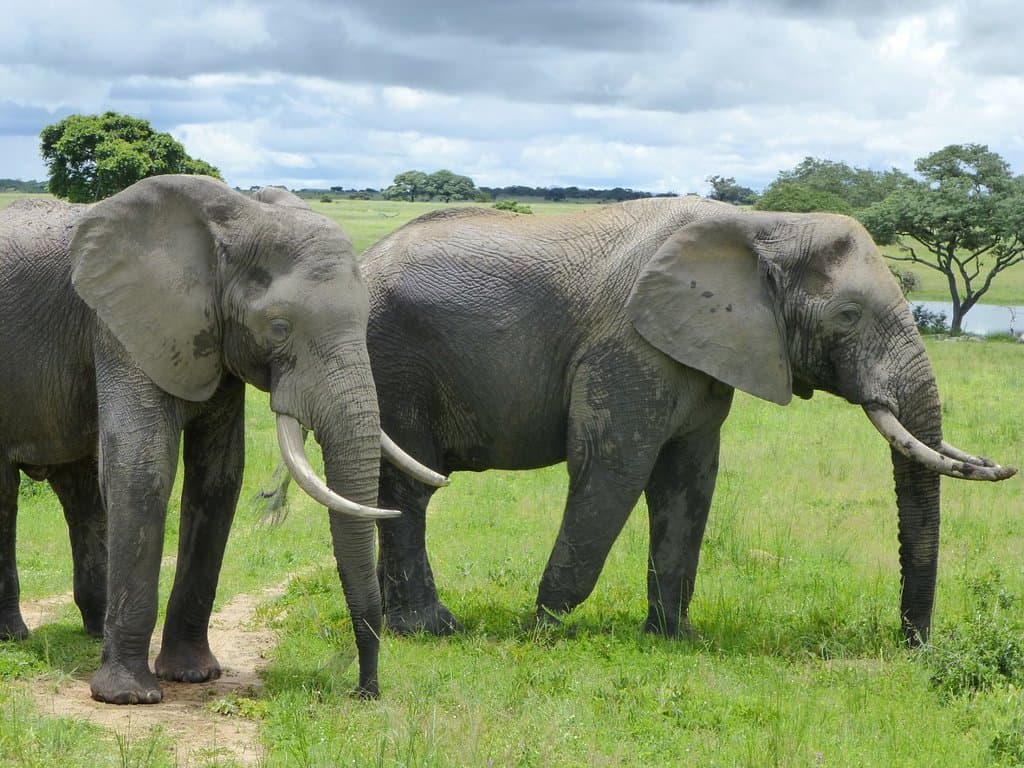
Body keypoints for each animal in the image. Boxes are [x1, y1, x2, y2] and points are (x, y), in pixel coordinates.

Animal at [0, 174, 445, 704]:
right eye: (279, 327)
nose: (366, 691)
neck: (237, 218)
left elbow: (219, 476)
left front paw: (193, 675)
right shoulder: (121, 327)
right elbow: (142, 467)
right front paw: (128, 697)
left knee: (78, 490)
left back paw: (89, 630)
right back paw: (14, 637)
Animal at [303, 195, 1011, 644]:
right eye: (847, 317)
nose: (912, 643)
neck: (764, 225)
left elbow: (688, 482)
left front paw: (674, 637)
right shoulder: (630, 348)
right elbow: (612, 470)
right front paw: (543, 629)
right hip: (393, 361)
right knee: (412, 489)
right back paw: (433, 630)